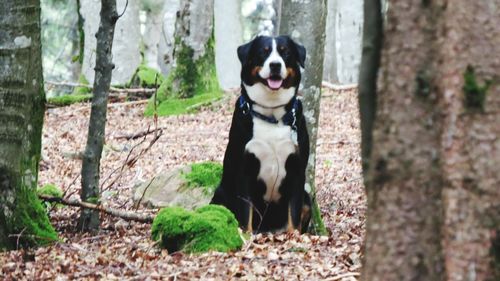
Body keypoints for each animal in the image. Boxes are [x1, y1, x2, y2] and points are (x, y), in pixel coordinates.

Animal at [211, 35, 312, 232]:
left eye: (285, 52)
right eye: (262, 52)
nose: (275, 65)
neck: (271, 115)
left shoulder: (297, 169)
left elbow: (294, 212)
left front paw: (294, 235)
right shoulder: (244, 169)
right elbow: (245, 213)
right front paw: (246, 235)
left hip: (308, 199)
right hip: (220, 195)